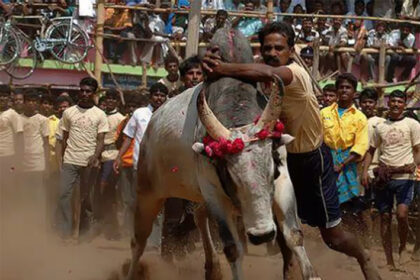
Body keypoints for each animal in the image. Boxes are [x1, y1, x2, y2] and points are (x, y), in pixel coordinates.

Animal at [124, 29, 318, 280]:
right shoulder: (214, 193)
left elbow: (294, 235)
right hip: (148, 192)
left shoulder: (283, 181)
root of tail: (152, 122)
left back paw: (212, 267)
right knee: (138, 241)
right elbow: (233, 248)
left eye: (271, 170)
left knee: (198, 216)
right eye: (230, 176)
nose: (262, 235)